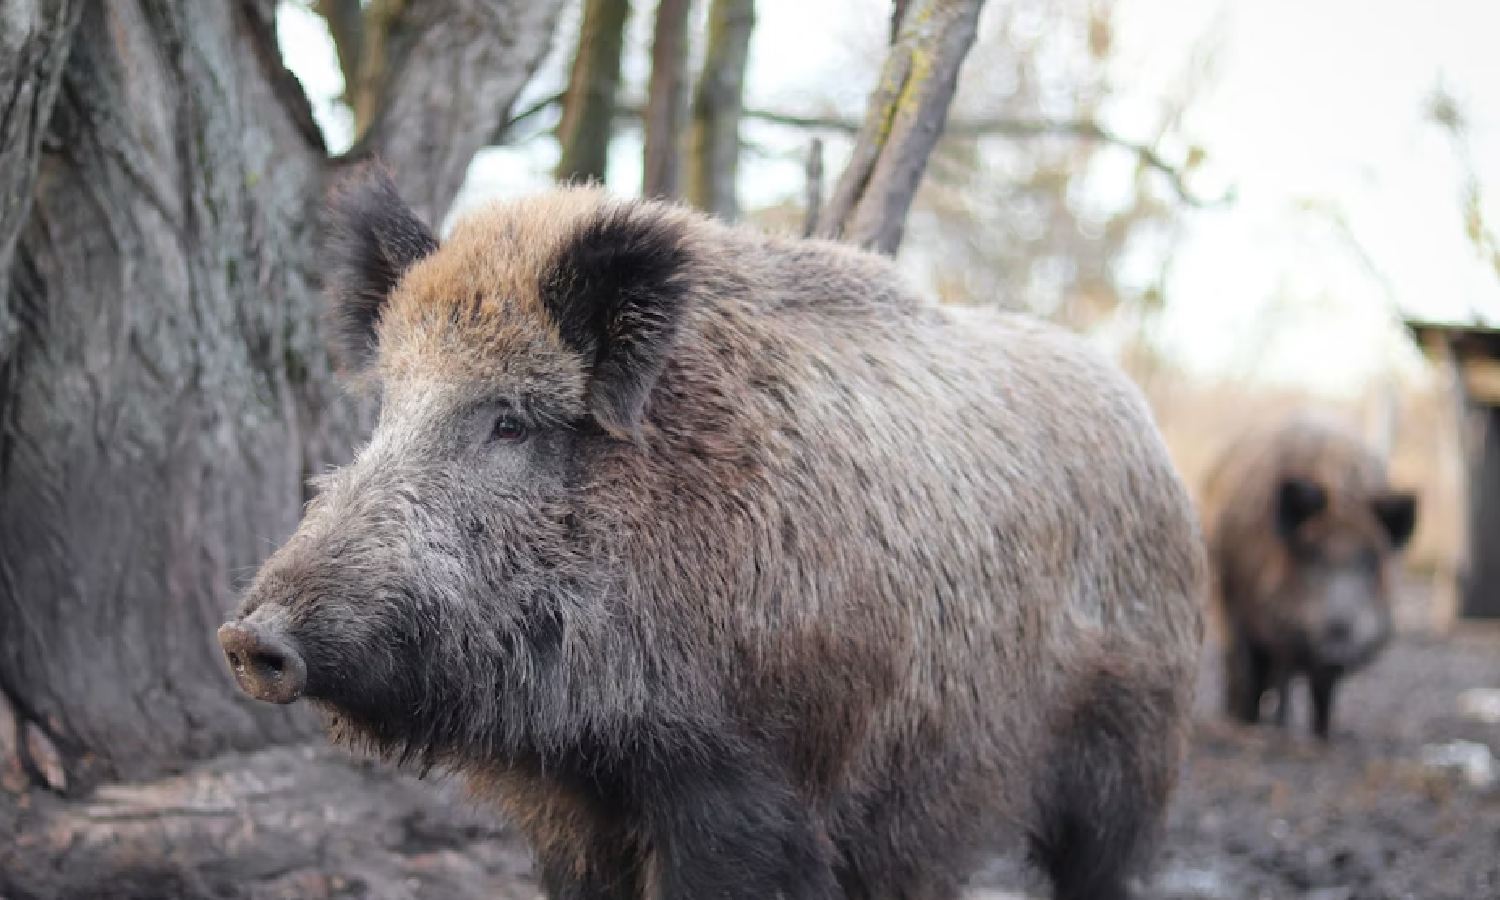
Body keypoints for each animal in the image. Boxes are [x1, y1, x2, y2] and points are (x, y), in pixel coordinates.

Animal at [218, 164, 1205, 900]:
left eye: (510, 421)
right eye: (388, 404)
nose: (247, 637)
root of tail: (1150, 432)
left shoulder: (747, 783)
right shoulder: (569, 808)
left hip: (1130, 747)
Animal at [1203, 414, 1417, 740]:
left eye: (1369, 561)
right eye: (1312, 554)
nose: (1338, 633)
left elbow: (1322, 691)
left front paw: (1322, 736)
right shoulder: (1239, 602)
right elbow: (1250, 669)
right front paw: (1249, 724)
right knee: (1244, 669)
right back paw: (1245, 719)